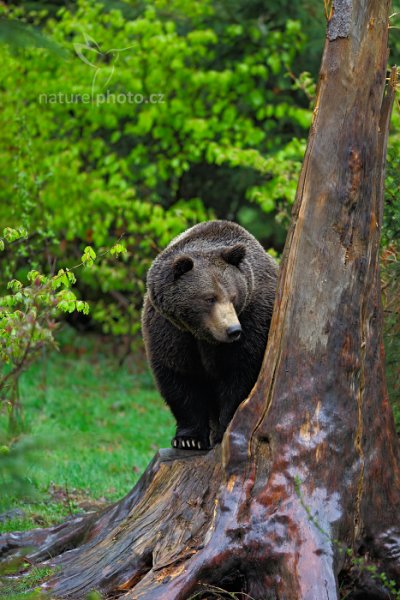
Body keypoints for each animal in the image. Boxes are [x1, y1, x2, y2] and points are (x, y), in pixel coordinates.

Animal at [142, 220, 276, 450]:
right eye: (209, 298)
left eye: (233, 296)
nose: (233, 330)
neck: (203, 336)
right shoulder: (170, 330)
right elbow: (180, 378)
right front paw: (188, 439)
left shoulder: (254, 317)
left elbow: (240, 374)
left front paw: (224, 430)